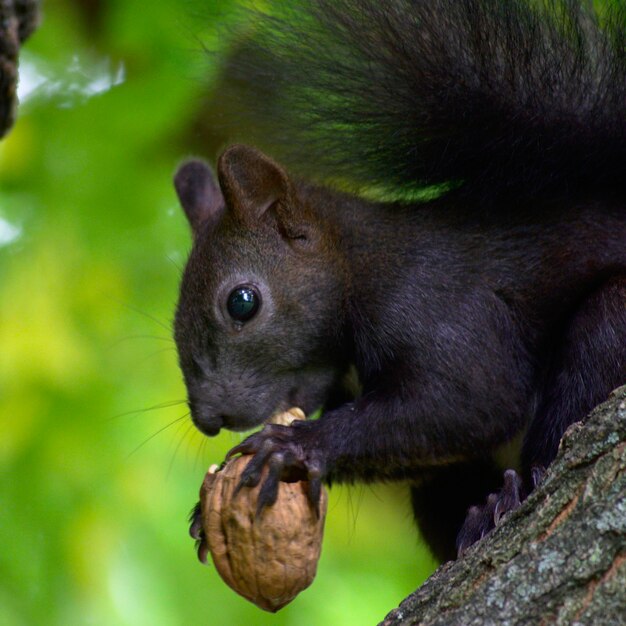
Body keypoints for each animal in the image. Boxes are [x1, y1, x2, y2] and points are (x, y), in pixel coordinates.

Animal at [172, 0, 624, 560]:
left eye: (241, 303)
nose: (207, 417)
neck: (358, 266)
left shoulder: (437, 305)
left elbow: (474, 400)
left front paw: (296, 446)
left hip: (610, 323)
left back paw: (509, 496)